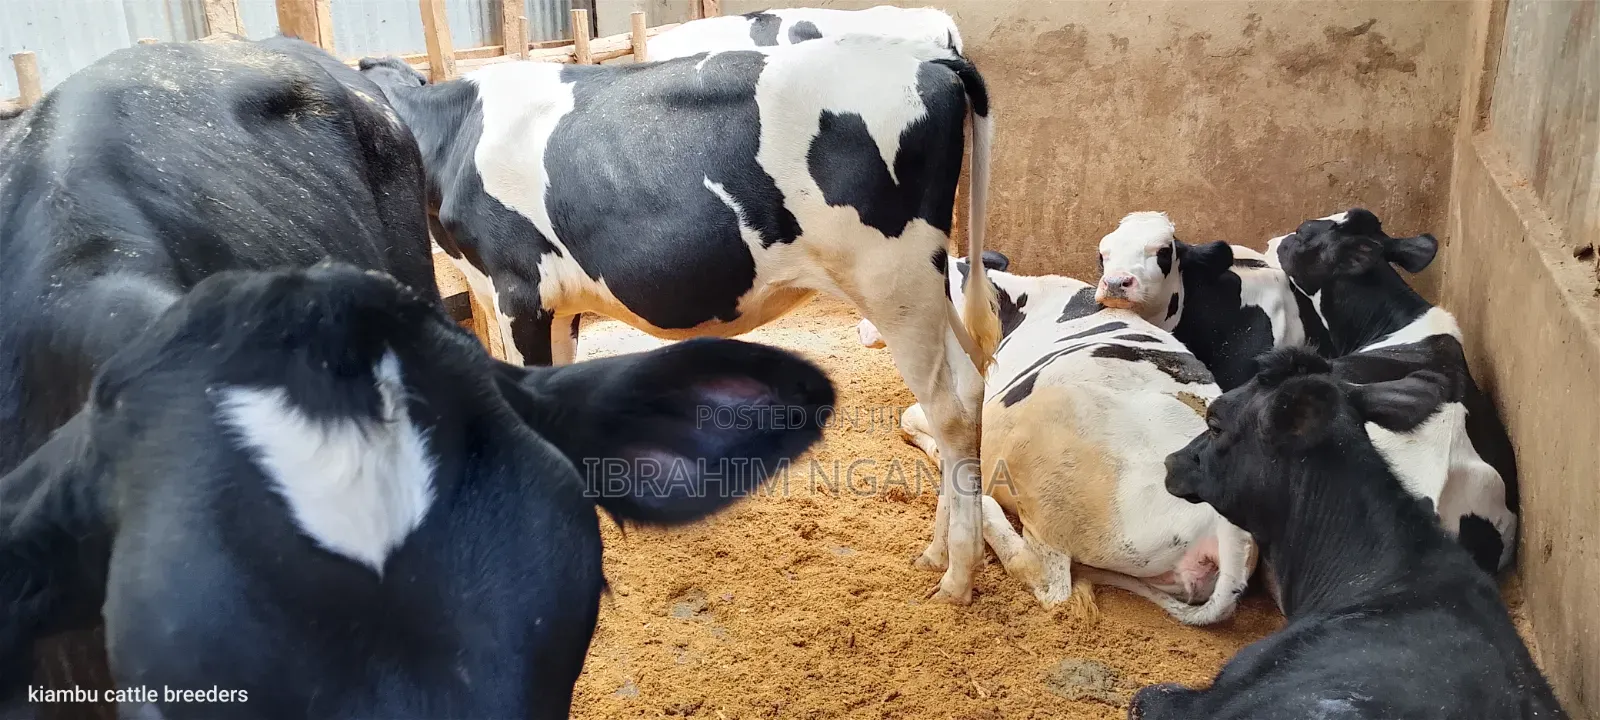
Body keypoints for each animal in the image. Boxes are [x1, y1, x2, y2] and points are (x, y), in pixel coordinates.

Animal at [358, 34, 1002, 603]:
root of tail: (930, 59)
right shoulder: (555, 307)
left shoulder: (518, 292)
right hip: (926, 282)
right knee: (969, 390)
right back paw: (936, 552)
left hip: (893, 279)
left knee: (949, 414)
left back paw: (956, 579)